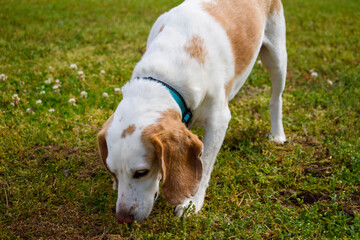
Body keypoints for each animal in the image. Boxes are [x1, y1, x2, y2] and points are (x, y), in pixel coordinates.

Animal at [97, 0, 286, 224]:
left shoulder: (218, 122)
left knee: (276, 99)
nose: (123, 218)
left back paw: (277, 134)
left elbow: (204, 165)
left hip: (277, 57)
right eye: (113, 171)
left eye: (141, 172)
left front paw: (191, 203)